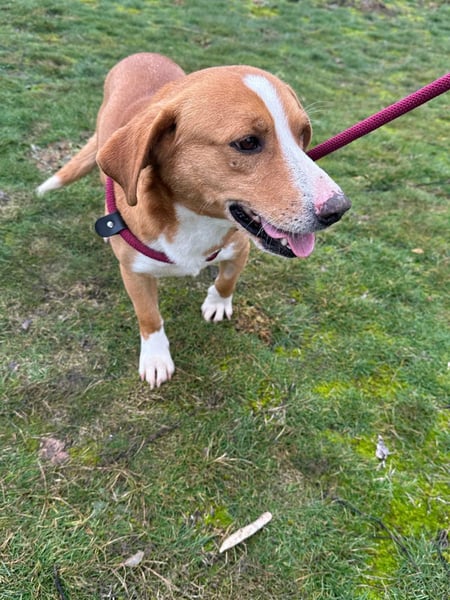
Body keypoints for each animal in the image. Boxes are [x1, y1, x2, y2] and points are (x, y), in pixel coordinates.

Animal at [37, 53, 351, 388]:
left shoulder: (240, 246)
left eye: (303, 134)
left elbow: (226, 280)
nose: (338, 209)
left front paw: (218, 304)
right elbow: (149, 316)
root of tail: (142, 55)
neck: (195, 217)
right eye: (247, 142)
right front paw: (156, 357)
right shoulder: (134, 272)